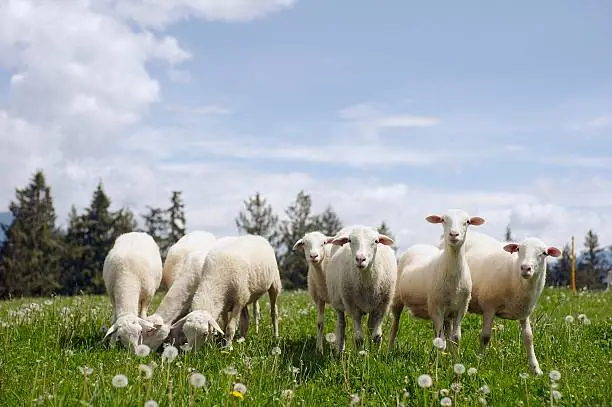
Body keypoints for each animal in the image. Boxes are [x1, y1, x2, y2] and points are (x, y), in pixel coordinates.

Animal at [326, 226, 396, 354]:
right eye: (349, 241)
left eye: (376, 241)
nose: (360, 259)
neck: (366, 281)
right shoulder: (354, 308)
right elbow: (358, 338)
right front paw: (361, 355)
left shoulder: (382, 307)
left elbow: (377, 336)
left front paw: (375, 355)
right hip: (338, 302)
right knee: (341, 325)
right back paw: (340, 351)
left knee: (369, 327)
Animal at [390, 209, 486, 352]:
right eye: (442, 220)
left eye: (467, 221)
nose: (454, 234)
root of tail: (420, 245)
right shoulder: (436, 307)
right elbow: (441, 341)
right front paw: (440, 357)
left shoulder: (461, 308)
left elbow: (456, 338)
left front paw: (454, 357)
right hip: (397, 299)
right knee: (395, 326)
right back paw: (389, 350)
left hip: (447, 312)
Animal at [464, 231, 560, 378]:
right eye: (519, 249)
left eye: (544, 253)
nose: (525, 268)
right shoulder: (489, 307)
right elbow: (485, 336)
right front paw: (479, 360)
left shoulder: (524, 312)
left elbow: (529, 338)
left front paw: (536, 369)